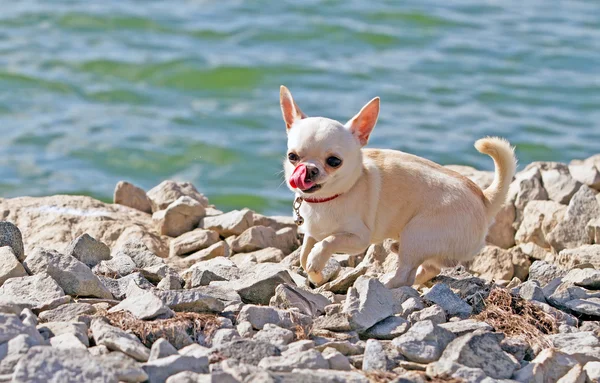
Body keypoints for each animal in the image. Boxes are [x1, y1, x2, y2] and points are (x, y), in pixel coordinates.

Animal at [280, 85, 516, 288]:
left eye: (334, 161)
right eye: (292, 156)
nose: (309, 169)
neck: (326, 199)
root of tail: (484, 200)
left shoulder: (358, 239)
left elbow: (328, 242)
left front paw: (317, 261)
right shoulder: (312, 232)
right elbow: (304, 255)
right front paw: (316, 275)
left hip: (418, 233)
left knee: (405, 274)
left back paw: (386, 284)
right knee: (429, 268)